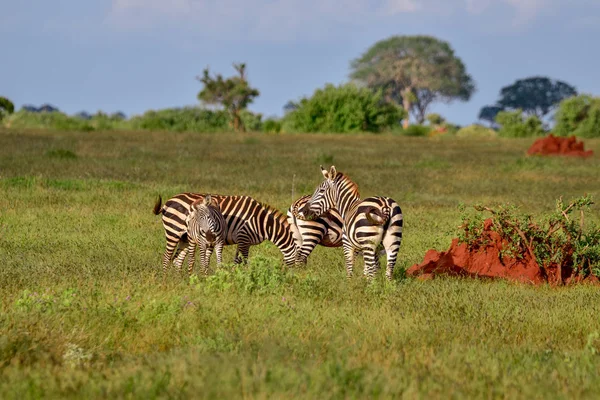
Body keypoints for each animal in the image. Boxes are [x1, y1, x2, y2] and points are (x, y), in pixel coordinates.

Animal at [152, 192, 302, 274]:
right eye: (301, 261)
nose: (296, 279)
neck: (261, 222)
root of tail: (168, 201)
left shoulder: (242, 241)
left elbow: (236, 261)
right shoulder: (244, 238)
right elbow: (244, 261)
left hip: (184, 237)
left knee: (177, 260)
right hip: (173, 231)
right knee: (167, 257)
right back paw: (165, 281)